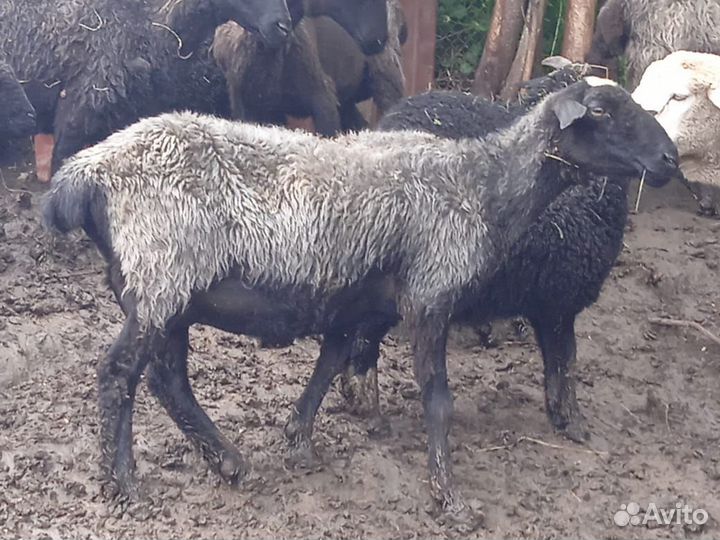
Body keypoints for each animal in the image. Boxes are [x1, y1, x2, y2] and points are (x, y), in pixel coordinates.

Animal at [43, 80, 677, 519]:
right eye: (602, 112)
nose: (670, 160)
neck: (483, 187)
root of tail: (85, 172)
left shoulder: (365, 303)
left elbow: (330, 364)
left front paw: (298, 441)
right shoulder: (430, 294)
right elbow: (437, 399)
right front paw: (450, 498)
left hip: (165, 292)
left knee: (167, 379)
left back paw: (229, 462)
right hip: (159, 276)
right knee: (119, 374)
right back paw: (125, 483)